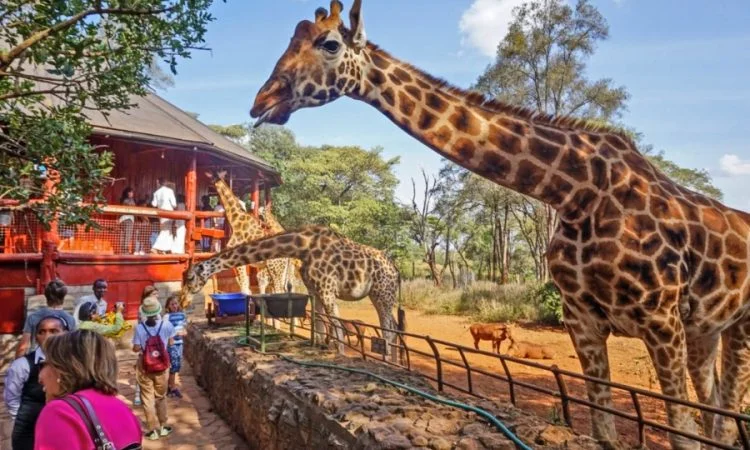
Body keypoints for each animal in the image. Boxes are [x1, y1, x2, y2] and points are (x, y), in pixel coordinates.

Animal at [183, 225, 400, 354]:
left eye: (190, 278)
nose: (183, 302)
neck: (303, 248)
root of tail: (397, 271)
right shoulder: (315, 290)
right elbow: (319, 323)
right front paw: (320, 346)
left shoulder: (327, 289)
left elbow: (337, 327)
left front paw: (339, 354)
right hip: (378, 295)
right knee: (395, 326)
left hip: (383, 293)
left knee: (388, 329)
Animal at [249, 1, 750, 447]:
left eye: (329, 44)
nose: (260, 101)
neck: (575, 191)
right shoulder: (584, 321)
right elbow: (606, 430)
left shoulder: (660, 321)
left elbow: (682, 433)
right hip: (705, 330)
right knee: (716, 414)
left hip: (735, 325)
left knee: (724, 418)